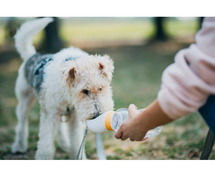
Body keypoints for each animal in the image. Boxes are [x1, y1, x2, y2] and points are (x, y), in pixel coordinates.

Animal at [11, 17, 114, 159]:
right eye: (84, 91)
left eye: (100, 88)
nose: (97, 115)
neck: (68, 93)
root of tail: (31, 56)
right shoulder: (49, 115)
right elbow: (46, 145)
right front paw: (43, 157)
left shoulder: (74, 117)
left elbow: (76, 142)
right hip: (25, 101)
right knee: (21, 124)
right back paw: (19, 146)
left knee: (60, 127)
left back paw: (64, 144)